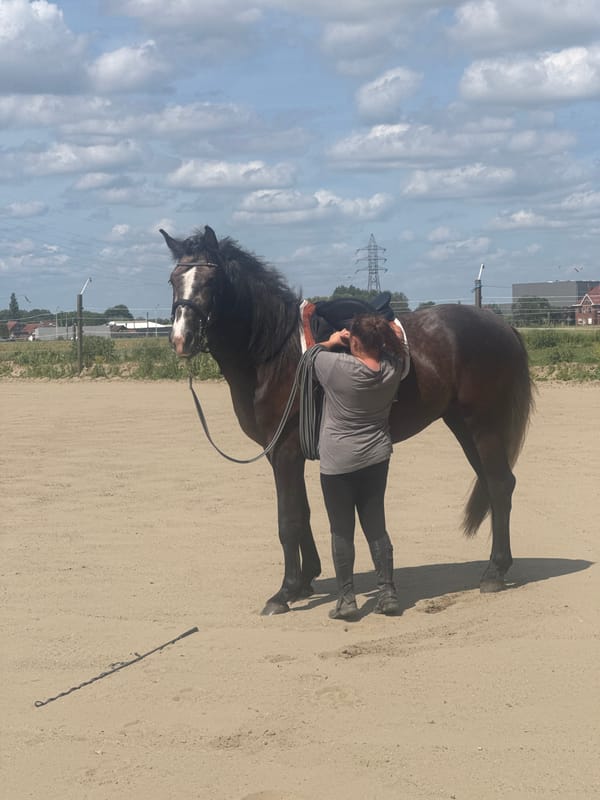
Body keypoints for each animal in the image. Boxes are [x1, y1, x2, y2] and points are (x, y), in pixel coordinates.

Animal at [161, 225, 534, 616]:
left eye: (212, 281)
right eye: (173, 279)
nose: (182, 339)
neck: (275, 353)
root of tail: (500, 325)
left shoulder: (285, 451)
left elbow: (288, 520)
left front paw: (284, 592)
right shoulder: (281, 453)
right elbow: (303, 513)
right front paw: (305, 580)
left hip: (484, 424)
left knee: (499, 485)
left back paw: (494, 571)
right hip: (463, 425)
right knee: (494, 483)